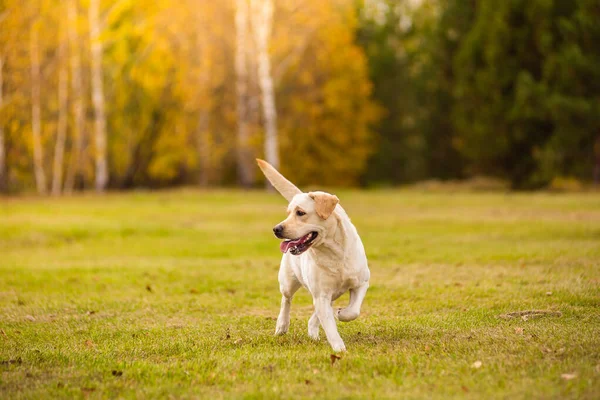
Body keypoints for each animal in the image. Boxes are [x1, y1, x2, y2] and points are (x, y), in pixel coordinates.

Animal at [255, 158, 368, 352]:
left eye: (300, 213)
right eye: (288, 213)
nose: (276, 229)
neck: (333, 253)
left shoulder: (361, 282)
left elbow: (353, 311)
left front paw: (342, 313)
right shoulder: (321, 295)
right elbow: (330, 327)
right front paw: (339, 350)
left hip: (331, 293)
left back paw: (314, 331)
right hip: (288, 281)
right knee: (286, 300)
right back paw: (282, 326)